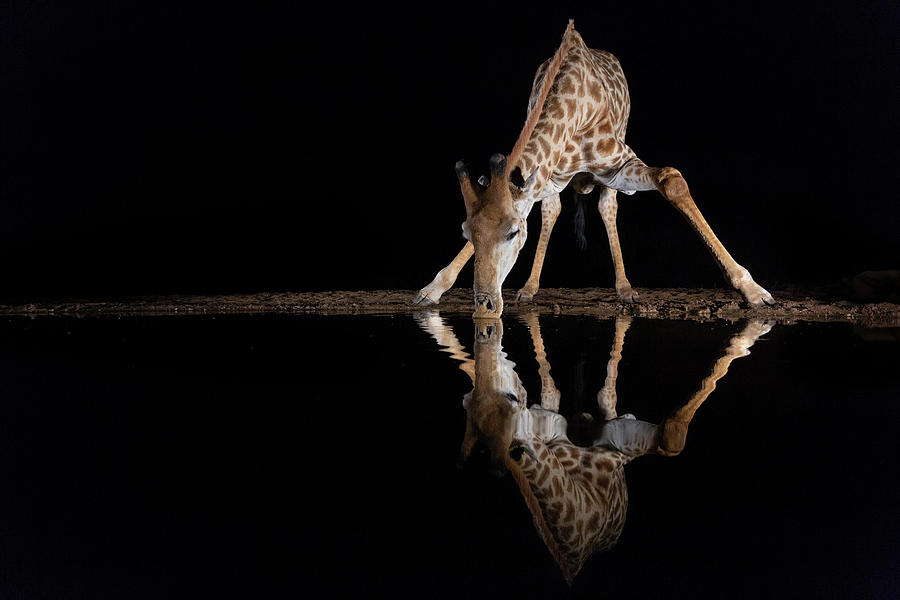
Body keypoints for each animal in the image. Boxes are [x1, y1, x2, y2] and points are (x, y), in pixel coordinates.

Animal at [414, 20, 772, 316]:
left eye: (513, 233)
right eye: (467, 233)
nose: (485, 307)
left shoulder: (619, 163)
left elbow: (671, 180)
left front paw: (753, 290)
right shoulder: (544, 176)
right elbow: (535, 209)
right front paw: (431, 290)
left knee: (607, 206)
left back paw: (625, 289)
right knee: (553, 211)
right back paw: (529, 289)